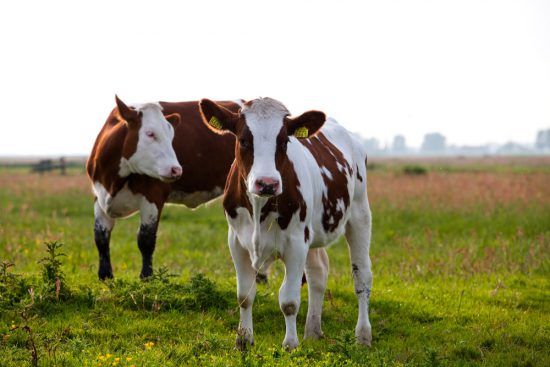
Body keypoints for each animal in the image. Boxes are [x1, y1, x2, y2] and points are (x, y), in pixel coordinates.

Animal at [87, 96, 238, 280]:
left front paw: (147, 277)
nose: (176, 169)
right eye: (150, 133)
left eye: (172, 136)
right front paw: (105, 275)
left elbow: (146, 239)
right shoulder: (99, 195)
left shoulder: (154, 195)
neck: (114, 180)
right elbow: (100, 237)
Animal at [198, 98, 376, 350]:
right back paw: (313, 331)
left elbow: (289, 300)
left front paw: (290, 344)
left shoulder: (296, 243)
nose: (267, 183)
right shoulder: (236, 242)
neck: (259, 207)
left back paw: (362, 335)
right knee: (318, 272)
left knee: (361, 274)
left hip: (359, 214)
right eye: (243, 140)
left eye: (283, 142)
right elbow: (244, 295)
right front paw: (243, 340)